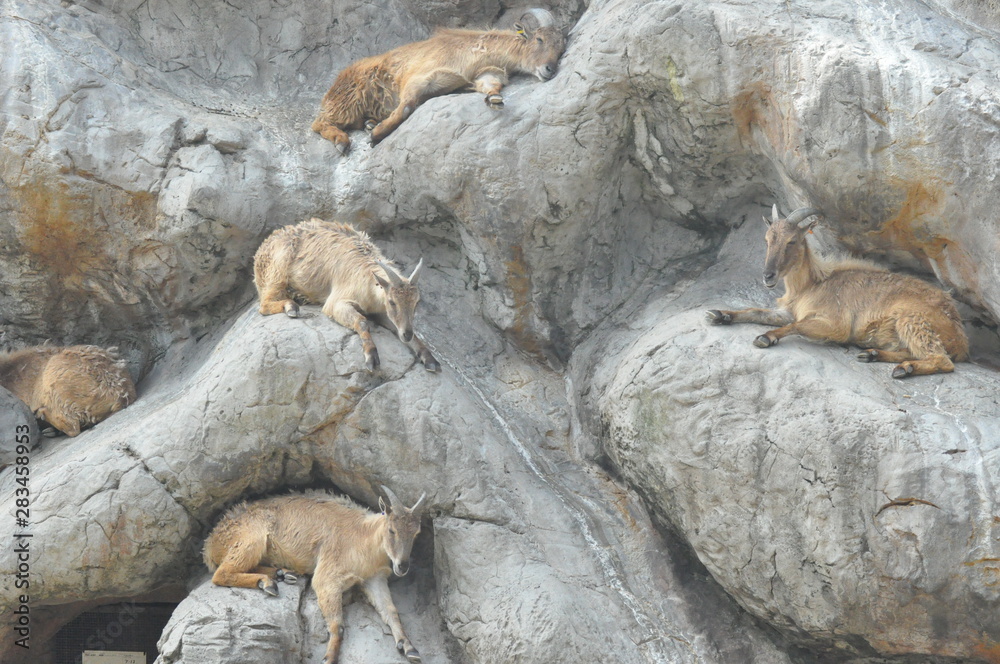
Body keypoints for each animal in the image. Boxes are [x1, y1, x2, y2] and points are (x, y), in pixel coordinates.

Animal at [204, 487, 426, 664]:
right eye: (392, 530)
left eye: (416, 533)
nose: (402, 566)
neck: (362, 538)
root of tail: (211, 543)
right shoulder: (327, 578)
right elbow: (337, 625)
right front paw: (329, 658)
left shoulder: (375, 579)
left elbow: (391, 611)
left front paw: (410, 648)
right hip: (251, 539)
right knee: (221, 573)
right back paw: (267, 582)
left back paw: (282, 574)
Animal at [253, 218, 440, 373]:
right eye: (392, 302)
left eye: (416, 303)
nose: (406, 334)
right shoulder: (337, 302)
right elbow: (362, 322)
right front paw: (371, 357)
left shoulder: (381, 312)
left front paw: (430, 359)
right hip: (278, 270)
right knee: (264, 304)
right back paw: (291, 307)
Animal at [311, 8, 566, 152]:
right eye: (539, 39)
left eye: (561, 47)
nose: (549, 70)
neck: (474, 53)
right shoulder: (419, 77)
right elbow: (406, 106)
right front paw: (377, 135)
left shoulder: (485, 73)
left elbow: (491, 86)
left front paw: (494, 99)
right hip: (349, 98)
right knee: (320, 122)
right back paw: (342, 140)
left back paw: (369, 123)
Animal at [707, 205, 969, 378]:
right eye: (767, 239)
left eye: (792, 241)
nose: (768, 276)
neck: (811, 285)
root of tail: (960, 338)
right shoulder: (787, 311)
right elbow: (756, 311)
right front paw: (719, 314)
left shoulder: (835, 324)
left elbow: (797, 325)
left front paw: (766, 337)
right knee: (912, 352)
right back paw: (873, 354)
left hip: (912, 320)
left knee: (942, 360)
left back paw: (904, 368)